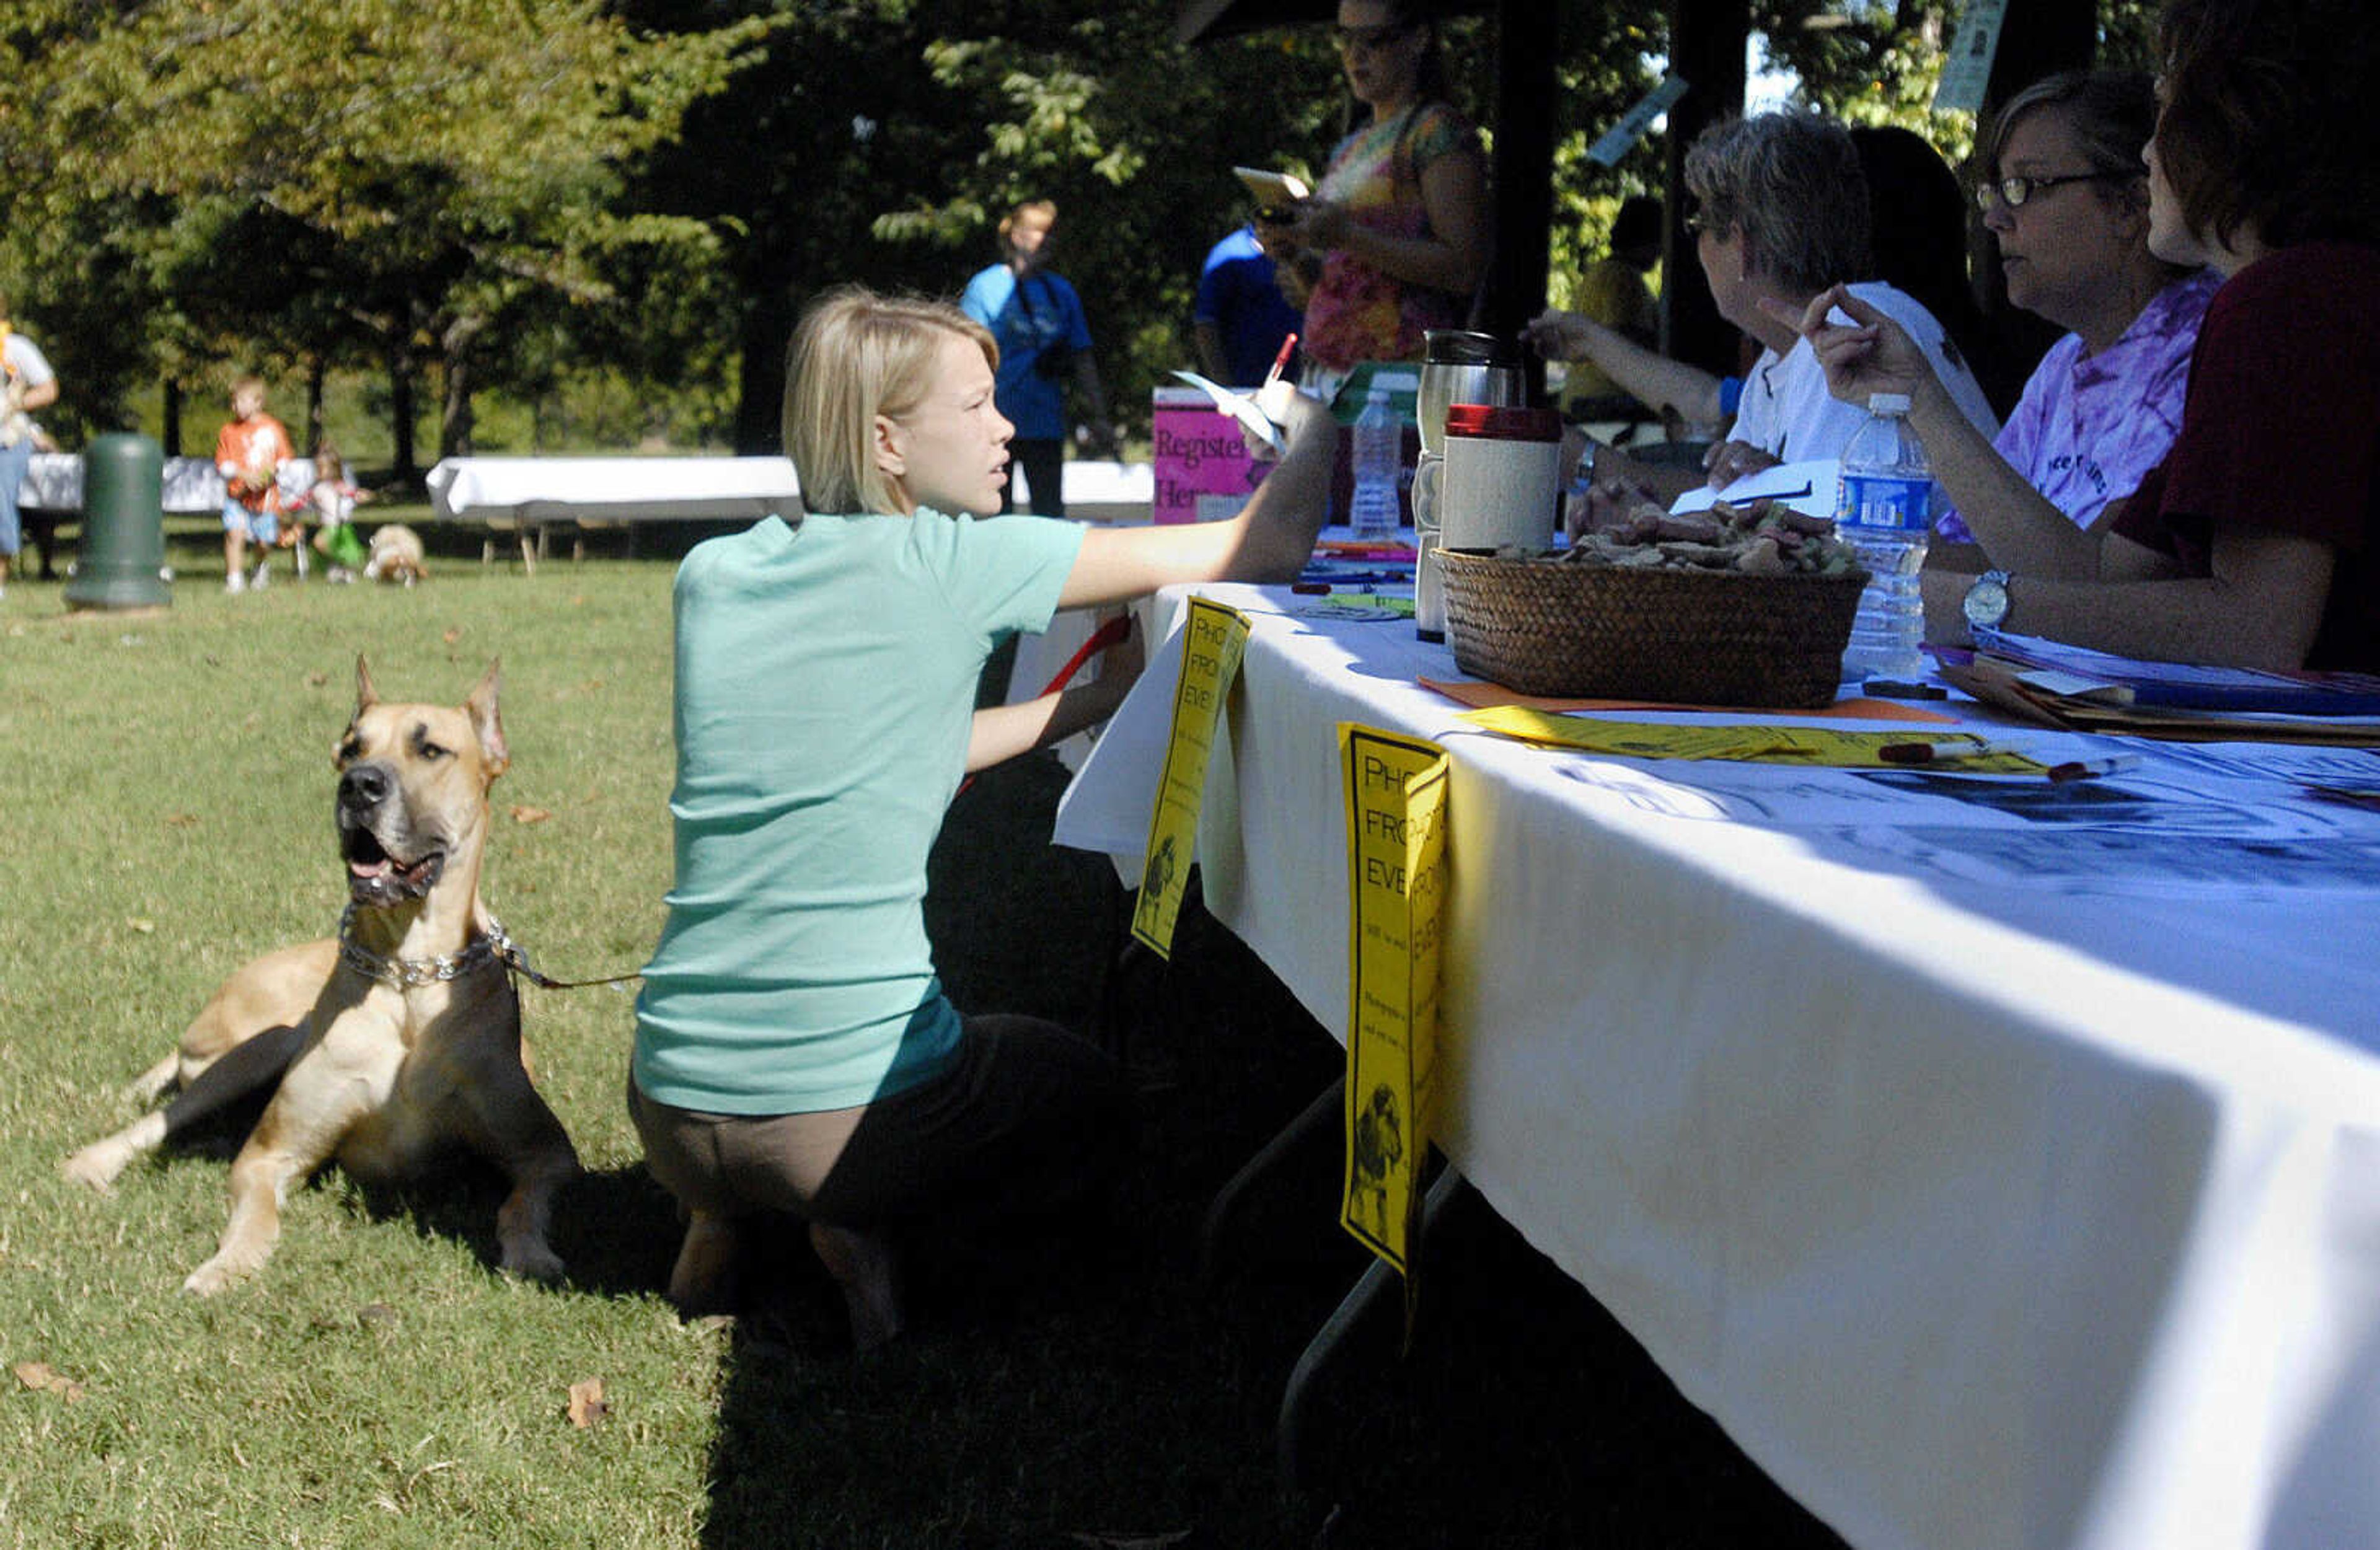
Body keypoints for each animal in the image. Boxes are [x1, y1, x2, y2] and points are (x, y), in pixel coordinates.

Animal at [60, 657, 580, 1295]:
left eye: (431, 749)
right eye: (353, 748)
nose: (359, 785)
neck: (408, 974)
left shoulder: (546, 1152)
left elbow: (522, 1201)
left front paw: (531, 1253)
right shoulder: (267, 1152)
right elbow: (256, 1211)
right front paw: (227, 1264)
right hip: (259, 1047)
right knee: (160, 1118)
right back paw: (93, 1161)